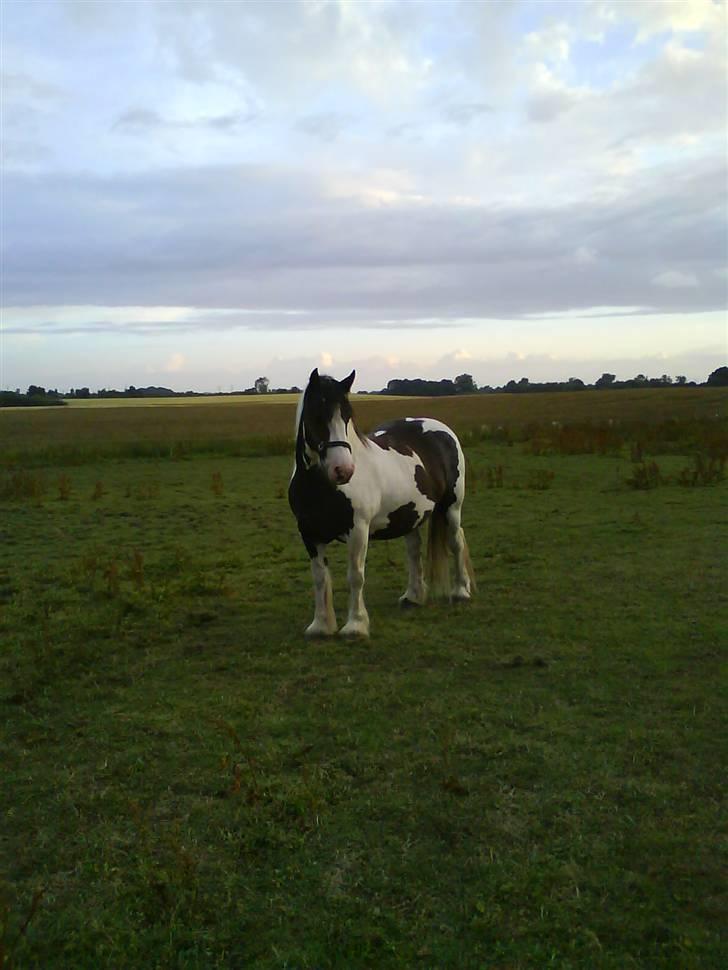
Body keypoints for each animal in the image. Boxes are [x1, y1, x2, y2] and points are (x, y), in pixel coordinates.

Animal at [288, 368, 474, 636]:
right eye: (316, 415)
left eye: (347, 416)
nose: (343, 470)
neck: (321, 487)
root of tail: (441, 429)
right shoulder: (310, 534)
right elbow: (320, 578)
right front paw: (321, 626)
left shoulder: (358, 530)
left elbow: (355, 576)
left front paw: (355, 626)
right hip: (409, 514)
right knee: (414, 550)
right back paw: (413, 596)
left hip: (452, 507)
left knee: (456, 541)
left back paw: (461, 592)